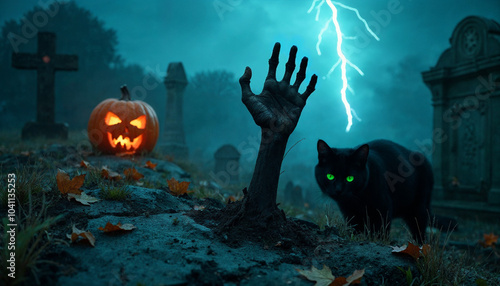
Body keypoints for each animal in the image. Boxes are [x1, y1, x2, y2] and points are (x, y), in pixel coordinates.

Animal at [314, 140, 448, 242]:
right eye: (330, 176)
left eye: (350, 178)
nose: (338, 189)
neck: (358, 201)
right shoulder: (349, 213)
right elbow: (355, 229)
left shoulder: (383, 209)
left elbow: (381, 231)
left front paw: (377, 241)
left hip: (418, 208)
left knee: (420, 229)